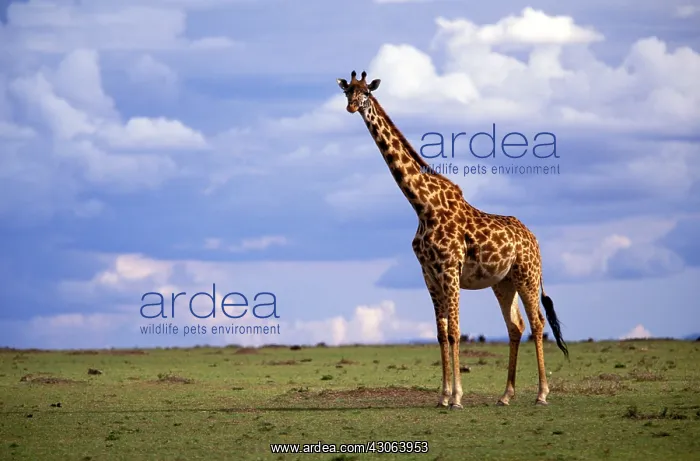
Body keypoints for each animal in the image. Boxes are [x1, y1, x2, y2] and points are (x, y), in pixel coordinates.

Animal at [336, 70, 569, 410]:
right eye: (347, 91)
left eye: (366, 92)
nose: (352, 107)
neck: (423, 205)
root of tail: (534, 239)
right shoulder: (429, 274)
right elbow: (441, 333)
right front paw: (443, 396)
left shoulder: (449, 270)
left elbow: (456, 331)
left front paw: (457, 397)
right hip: (504, 282)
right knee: (516, 326)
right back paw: (506, 395)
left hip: (527, 275)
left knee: (538, 323)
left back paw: (541, 394)